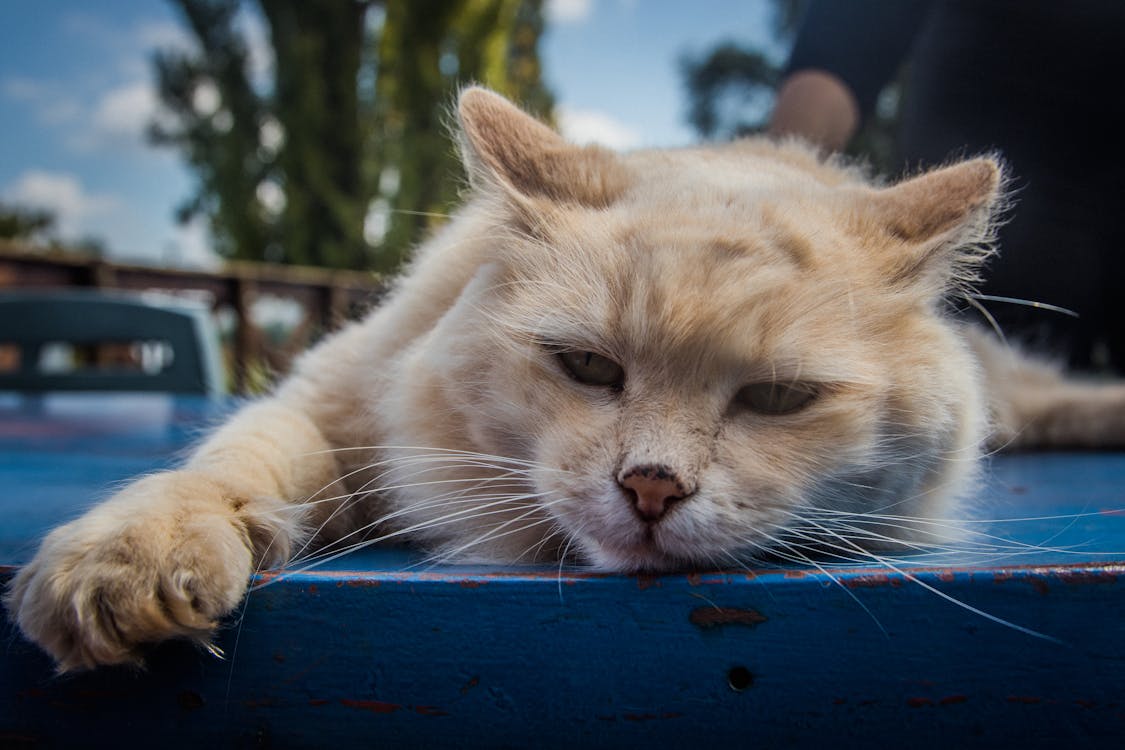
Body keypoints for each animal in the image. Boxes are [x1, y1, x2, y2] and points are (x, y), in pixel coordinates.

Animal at [8, 88, 1125, 674]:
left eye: (775, 399)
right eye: (587, 367)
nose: (652, 489)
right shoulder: (331, 401)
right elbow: (228, 466)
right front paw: (128, 566)